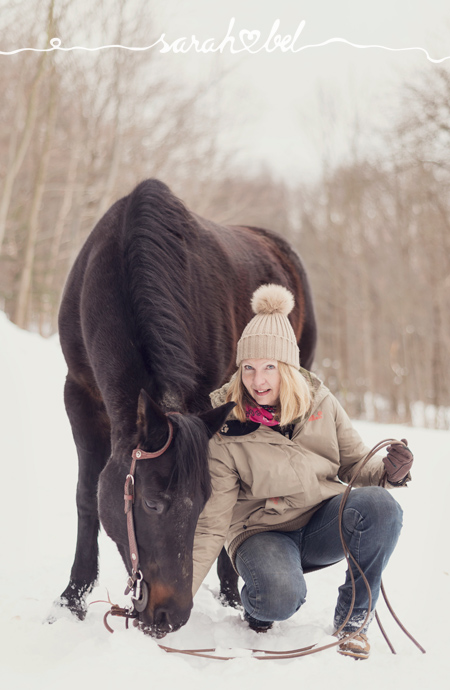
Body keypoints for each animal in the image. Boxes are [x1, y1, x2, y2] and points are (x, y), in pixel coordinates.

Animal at [56, 177, 316, 636]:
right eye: (151, 503)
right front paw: (73, 597)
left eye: (201, 500)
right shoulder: (80, 395)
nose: (169, 616)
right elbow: (87, 496)